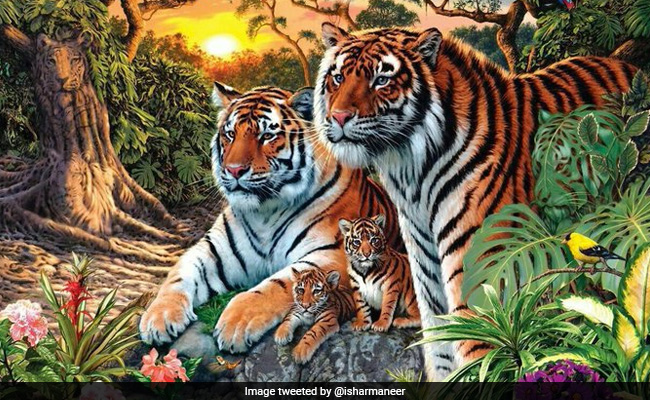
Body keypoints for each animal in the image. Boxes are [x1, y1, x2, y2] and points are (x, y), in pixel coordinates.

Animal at [139, 83, 404, 353]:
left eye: (266, 136)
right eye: (230, 134)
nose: (233, 170)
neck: (265, 212)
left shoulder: (333, 253)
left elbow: (279, 284)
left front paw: (237, 322)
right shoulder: (212, 250)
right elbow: (179, 274)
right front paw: (158, 317)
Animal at [313, 23, 636, 379]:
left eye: (382, 80)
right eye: (338, 77)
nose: (338, 117)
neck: (410, 172)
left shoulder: (481, 265)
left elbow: (477, 349)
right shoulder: (425, 266)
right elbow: (439, 343)